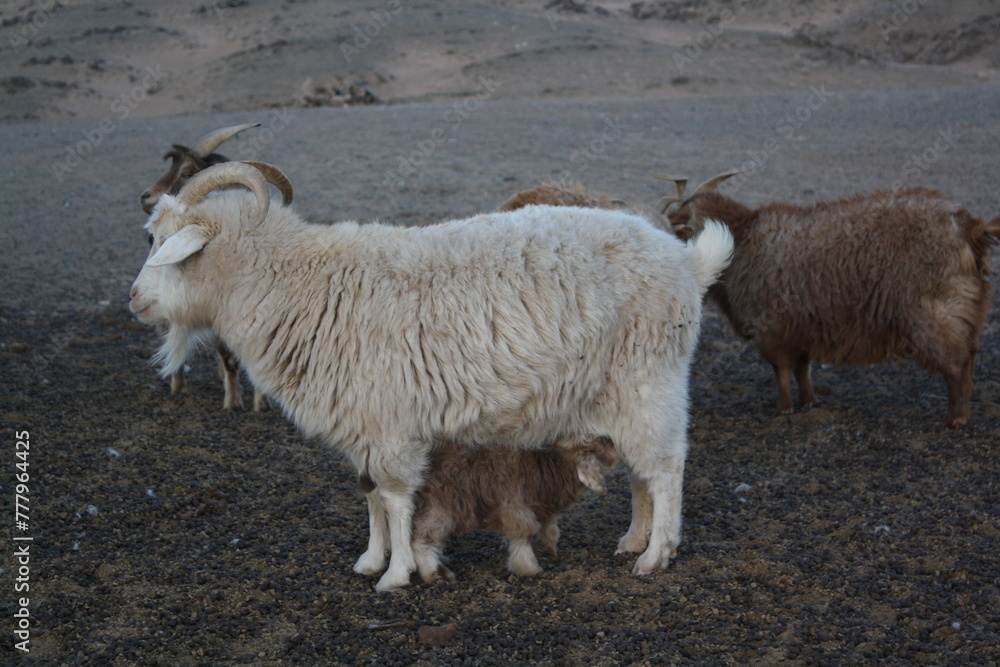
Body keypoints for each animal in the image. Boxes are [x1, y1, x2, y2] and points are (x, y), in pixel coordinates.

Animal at [129, 162, 733, 591]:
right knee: (641, 470)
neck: (301, 285)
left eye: (166, 246)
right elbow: (370, 496)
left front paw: (397, 574)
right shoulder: (363, 425)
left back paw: (655, 555)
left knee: (666, 468)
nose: (134, 299)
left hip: (650, 378)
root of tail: (687, 261)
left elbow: (396, 497)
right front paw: (370, 560)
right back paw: (633, 540)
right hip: (620, 394)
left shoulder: (390, 424)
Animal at [661, 172, 1000, 427]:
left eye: (680, 232)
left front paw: (783, 409)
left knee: (957, 363)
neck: (743, 239)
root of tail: (970, 226)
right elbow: (802, 368)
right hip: (967, 307)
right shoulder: (800, 326)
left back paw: (956, 417)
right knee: (970, 355)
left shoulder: (772, 328)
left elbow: (781, 371)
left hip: (936, 309)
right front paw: (809, 402)